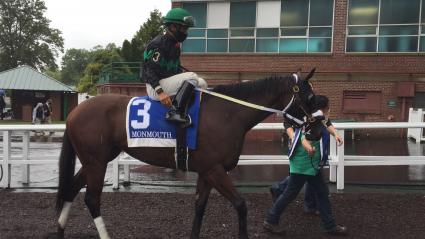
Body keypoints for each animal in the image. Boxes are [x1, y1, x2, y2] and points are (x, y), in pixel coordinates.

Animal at [55, 68, 314, 238]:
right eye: (310, 96)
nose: (319, 124)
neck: (227, 113)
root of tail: (75, 111)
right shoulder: (215, 170)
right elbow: (241, 205)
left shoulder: (206, 172)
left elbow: (199, 207)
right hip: (96, 162)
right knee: (91, 199)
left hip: (95, 161)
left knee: (70, 189)